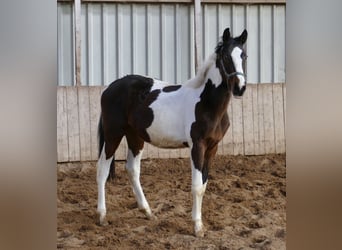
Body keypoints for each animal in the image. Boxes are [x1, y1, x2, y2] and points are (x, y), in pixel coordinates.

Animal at [96, 28, 248, 237]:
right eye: (225, 56)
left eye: (244, 55)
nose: (240, 88)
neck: (206, 103)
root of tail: (109, 88)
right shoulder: (197, 146)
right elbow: (196, 186)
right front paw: (197, 227)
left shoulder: (212, 148)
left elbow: (204, 185)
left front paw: (199, 224)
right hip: (113, 134)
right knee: (102, 169)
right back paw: (102, 216)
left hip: (135, 137)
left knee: (132, 170)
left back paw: (148, 212)